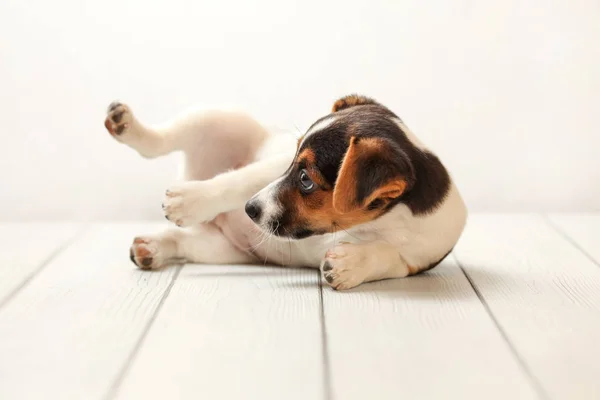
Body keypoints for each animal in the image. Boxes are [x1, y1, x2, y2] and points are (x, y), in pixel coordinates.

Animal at [105, 95, 466, 290]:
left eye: (306, 180)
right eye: (296, 166)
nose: (249, 210)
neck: (381, 223)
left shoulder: (418, 259)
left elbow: (389, 258)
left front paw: (351, 265)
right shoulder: (273, 167)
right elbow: (238, 182)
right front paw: (193, 200)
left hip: (223, 248)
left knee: (183, 240)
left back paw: (152, 247)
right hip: (218, 120)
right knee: (159, 142)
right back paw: (128, 126)